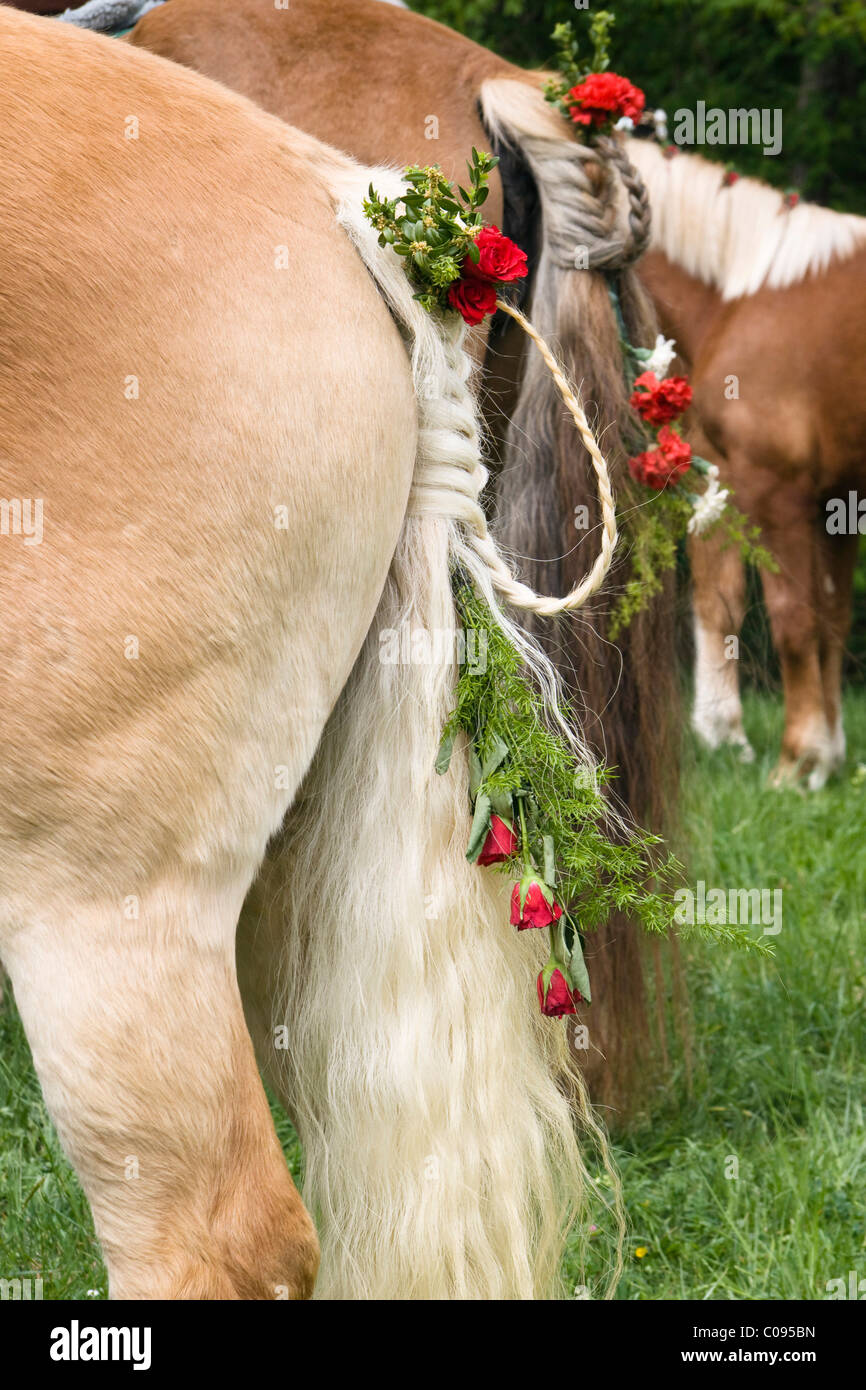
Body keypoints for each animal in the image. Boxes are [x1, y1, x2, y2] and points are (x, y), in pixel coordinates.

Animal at [631, 141, 866, 795]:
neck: (743, 298)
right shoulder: (835, 498)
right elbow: (832, 617)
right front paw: (828, 757)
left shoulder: (776, 492)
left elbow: (794, 620)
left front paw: (798, 762)